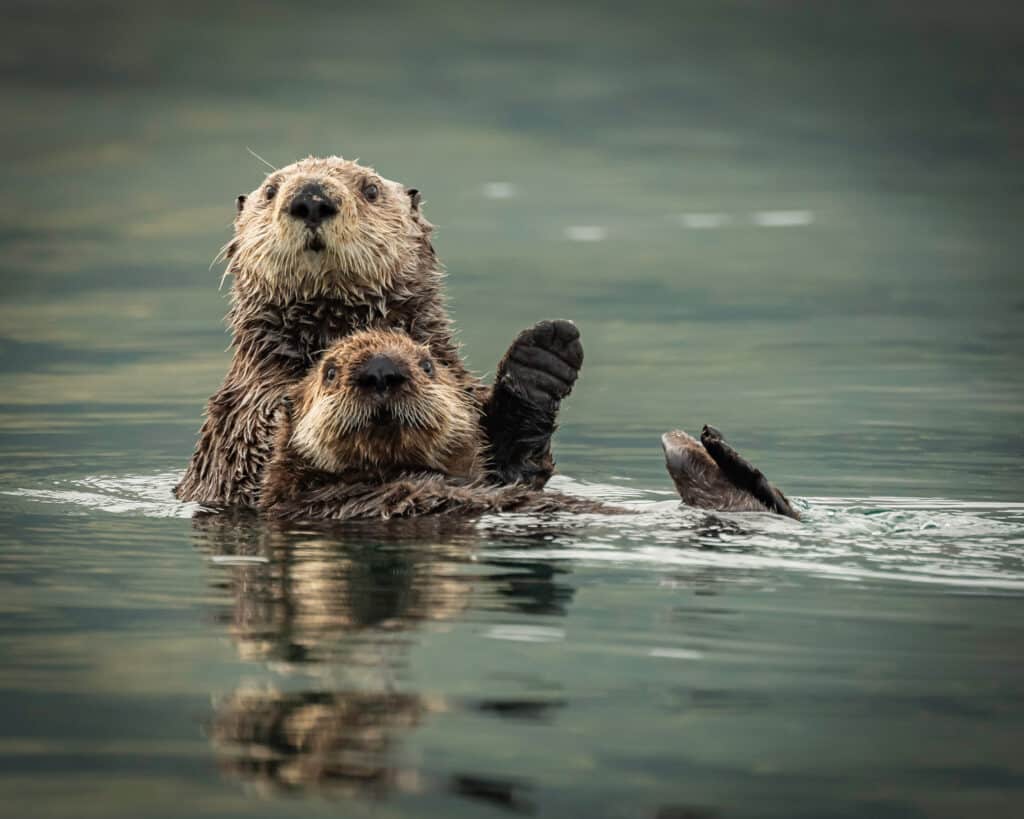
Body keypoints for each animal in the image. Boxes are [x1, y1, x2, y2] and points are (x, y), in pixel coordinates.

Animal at [176, 156, 585, 507]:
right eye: (271, 190)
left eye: (370, 190)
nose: (311, 199)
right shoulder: (241, 417)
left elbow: (510, 466)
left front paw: (542, 357)